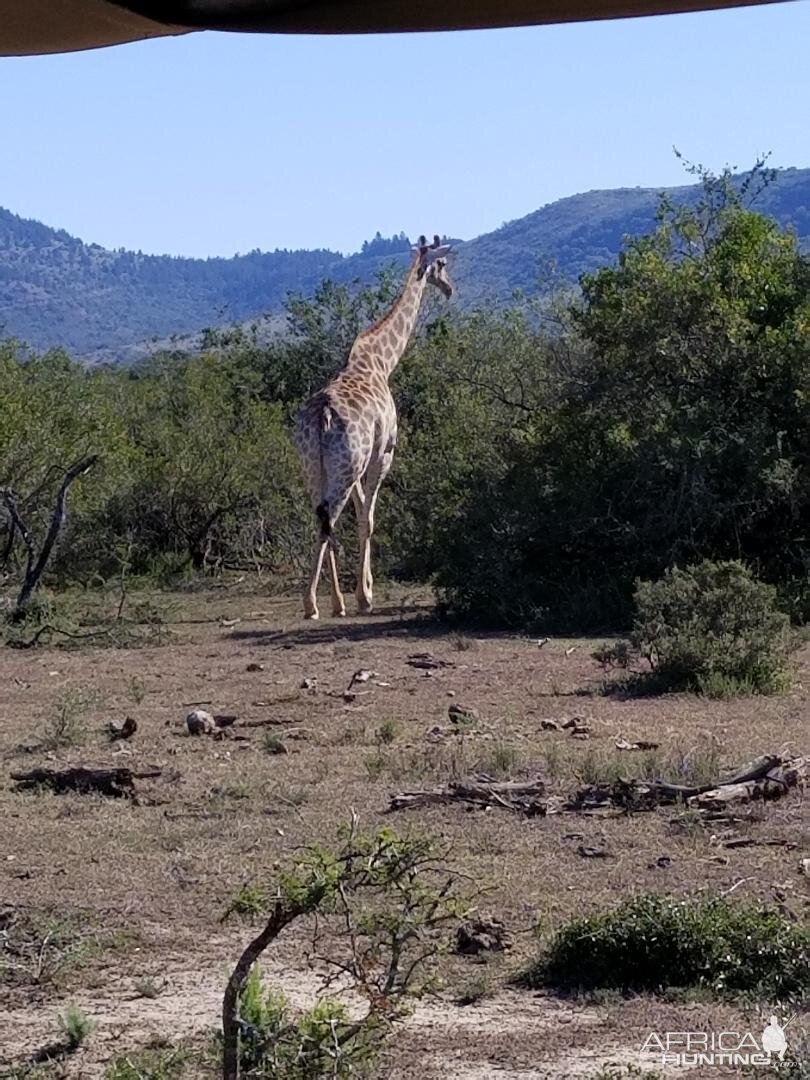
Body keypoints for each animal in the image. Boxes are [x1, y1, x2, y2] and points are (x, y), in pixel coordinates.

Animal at [295, 236, 453, 626]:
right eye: (442, 265)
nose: (450, 289)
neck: (381, 362)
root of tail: (322, 416)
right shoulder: (384, 453)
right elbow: (368, 517)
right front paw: (365, 596)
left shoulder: (360, 462)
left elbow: (360, 513)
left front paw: (358, 593)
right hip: (345, 466)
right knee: (329, 518)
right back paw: (312, 604)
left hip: (317, 469)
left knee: (322, 518)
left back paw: (332, 602)